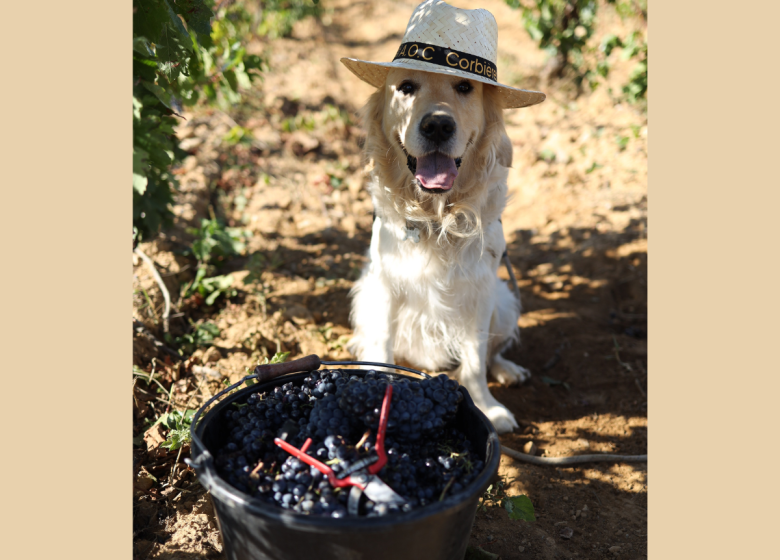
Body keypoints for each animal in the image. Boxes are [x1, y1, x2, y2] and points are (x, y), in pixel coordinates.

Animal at [338, 1, 544, 434]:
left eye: (465, 87)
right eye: (406, 87)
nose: (437, 125)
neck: (437, 217)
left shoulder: (481, 293)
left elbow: (474, 364)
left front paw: (488, 408)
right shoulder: (384, 288)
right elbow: (382, 355)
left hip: (505, 301)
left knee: (491, 353)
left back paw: (508, 369)